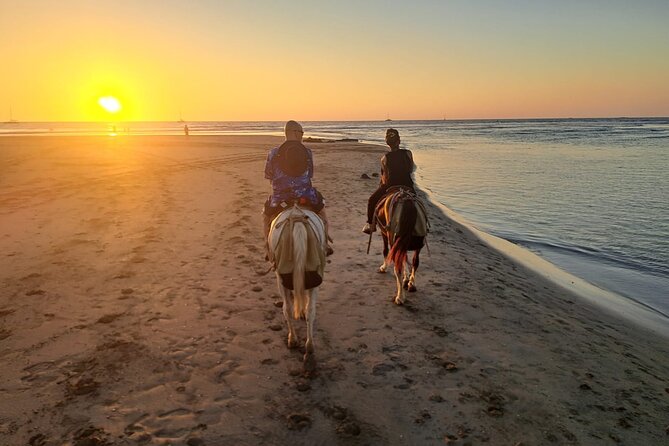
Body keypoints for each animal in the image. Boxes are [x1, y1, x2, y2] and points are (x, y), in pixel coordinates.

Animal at [268, 205, 326, 370]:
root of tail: (297, 219)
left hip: (281, 279)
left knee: (286, 309)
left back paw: (292, 339)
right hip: (314, 277)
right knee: (311, 310)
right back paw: (309, 346)